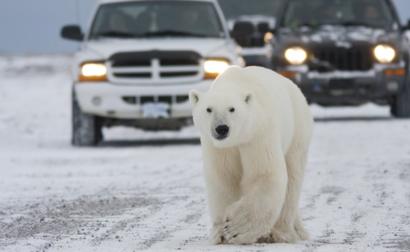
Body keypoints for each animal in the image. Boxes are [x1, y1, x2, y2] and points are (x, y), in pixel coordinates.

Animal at [190, 66, 314, 245]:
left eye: (232, 109)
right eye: (209, 109)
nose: (222, 128)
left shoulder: (258, 133)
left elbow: (265, 174)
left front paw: (235, 229)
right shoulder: (219, 148)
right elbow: (223, 178)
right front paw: (220, 233)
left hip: (297, 130)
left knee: (292, 177)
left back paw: (283, 233)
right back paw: (297, 230)